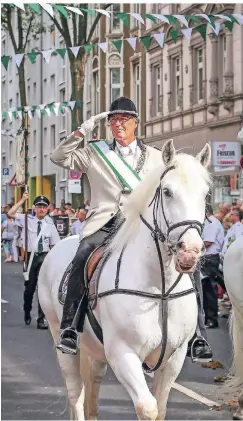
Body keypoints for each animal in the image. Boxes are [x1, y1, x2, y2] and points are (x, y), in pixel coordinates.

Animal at [38, 139, 211, 420]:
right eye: (167, 192)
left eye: (206, 194)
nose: (191, 250)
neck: (159, 288)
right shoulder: (122, 353)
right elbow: (148, 407)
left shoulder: (174, 358)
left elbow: (160, 408)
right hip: (61, 339)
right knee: (76, 395)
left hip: (95, 351)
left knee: (92, 394)